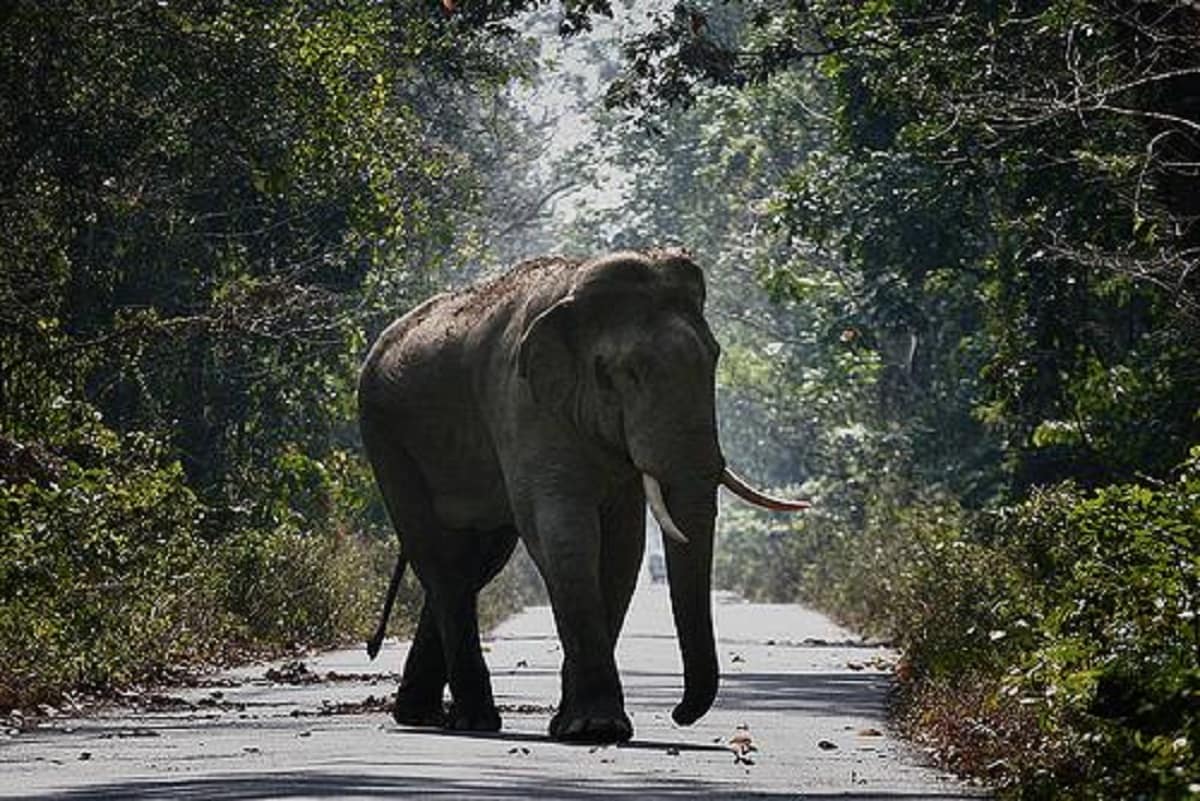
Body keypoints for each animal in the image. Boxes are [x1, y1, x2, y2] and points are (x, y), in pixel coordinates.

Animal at [355, 250, 806, 743]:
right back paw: (473, 721)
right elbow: (564, 531)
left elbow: (623, 545)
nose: (679, 714)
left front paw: (579, 724)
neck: (576, 289)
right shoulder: (522, 401)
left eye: (715, 359)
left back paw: (424, 716)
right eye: (629, 373)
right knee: (441, 558)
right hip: (386, 437)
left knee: (476, 560)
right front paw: (595, 728)